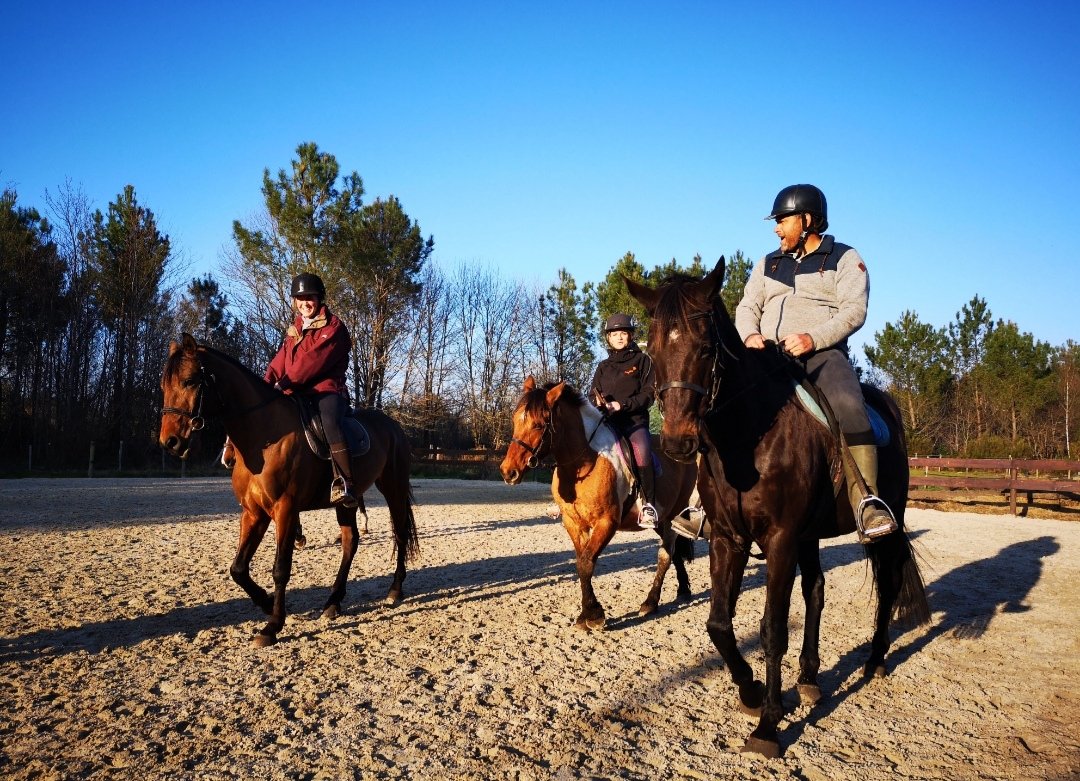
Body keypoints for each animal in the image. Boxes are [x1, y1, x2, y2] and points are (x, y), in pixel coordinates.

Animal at [159, 333, 419, 647]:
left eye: (189, 381)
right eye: (163, 385)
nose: (170, 442)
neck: (263, 437)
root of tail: (394, 425)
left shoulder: (285, 509)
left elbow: (280, 568)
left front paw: (272, 626)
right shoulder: (254, 513)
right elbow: (238, 569)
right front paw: (266, 603)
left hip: (393, 486)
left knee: (400, 532)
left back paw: (395, 590)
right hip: (347, 502)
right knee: (350, 542)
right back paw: (333, 602)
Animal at [500, 377, 699, 629]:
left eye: (538, 425)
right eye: (516, 419)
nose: (508, 472)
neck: (585, 463)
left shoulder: (607, 523)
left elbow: (587, 562)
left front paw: (593, 615)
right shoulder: (574, 523)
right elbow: (581, 562)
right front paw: (587, 613)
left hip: (673, 515)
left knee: (665, 554)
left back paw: (651, 603)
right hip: (661, 521)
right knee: (673, 554)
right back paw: (682, 589)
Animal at [626, 259, 930, 757]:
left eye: (706, 347)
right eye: (651, 350)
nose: (677, 442)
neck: (748, 436)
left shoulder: (781, 540)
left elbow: (771, 629)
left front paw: (769, 723)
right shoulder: (728, 539)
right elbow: (719, 624)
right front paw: (750, 692)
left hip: (883, 524)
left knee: (886, 584)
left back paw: (875, 660)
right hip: (809, 535)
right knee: (816, 591)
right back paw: (808, 677)